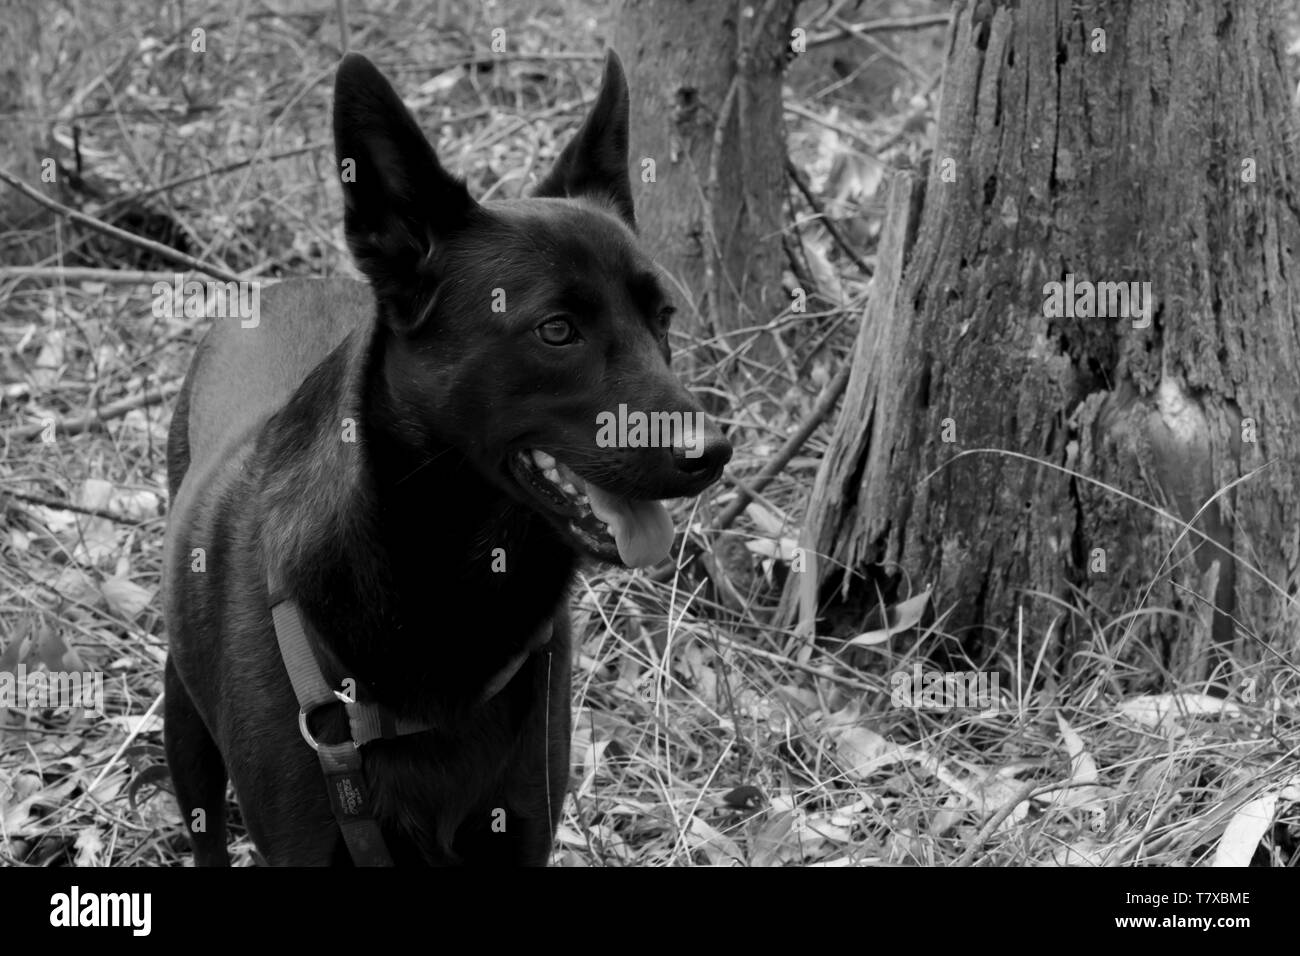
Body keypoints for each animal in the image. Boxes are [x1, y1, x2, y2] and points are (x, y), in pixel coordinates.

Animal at [161, 52, 733, 868]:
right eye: (556, 330)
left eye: (664, 319)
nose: (712, 452)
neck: (447, 577)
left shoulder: (520, 828)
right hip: (185, 727)